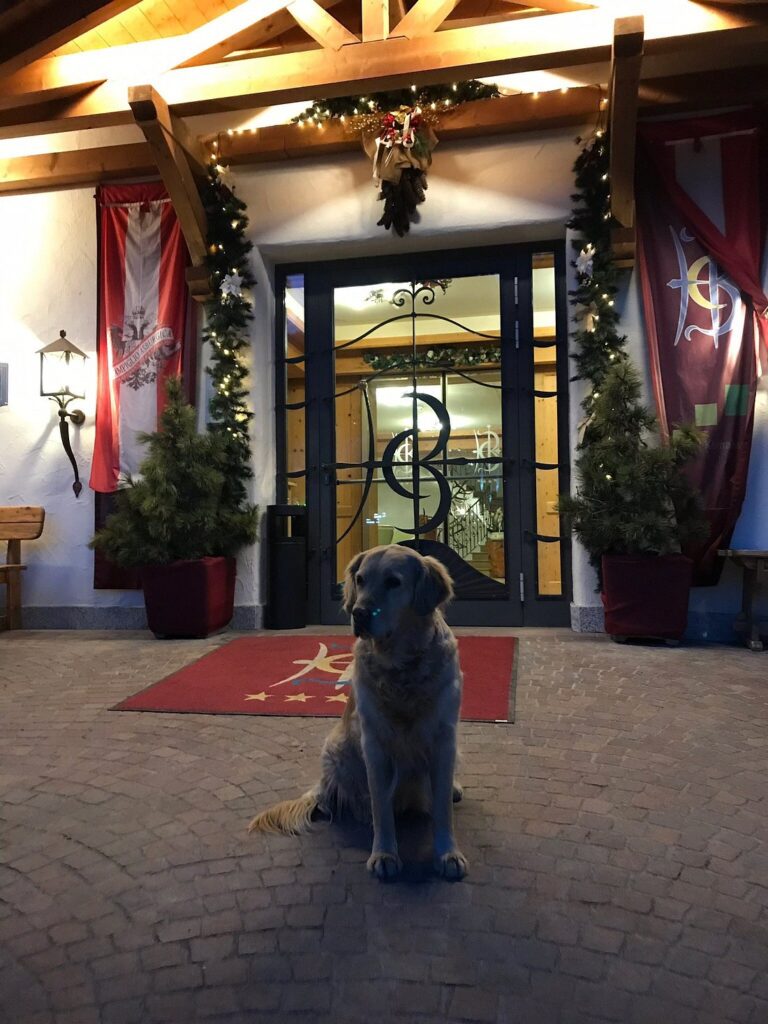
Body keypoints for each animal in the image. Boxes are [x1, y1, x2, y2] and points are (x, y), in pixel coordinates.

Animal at [250, 544, 468, 880]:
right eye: (361, 579)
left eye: (393, 582)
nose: (360, 613)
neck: (401, 663)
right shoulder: (373, 743)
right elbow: (381, 806)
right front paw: (384, 854)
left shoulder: (445, 737)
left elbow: (443, 809)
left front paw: (448, 854)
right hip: (336, 748)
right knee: (338, 798)